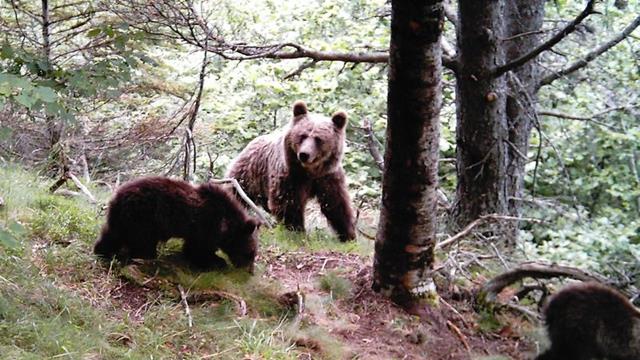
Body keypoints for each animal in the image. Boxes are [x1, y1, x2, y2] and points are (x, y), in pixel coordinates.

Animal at [94, 176, 258, 272]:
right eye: (250, 253)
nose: (249, 271)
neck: (225, 225)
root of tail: (117, 197)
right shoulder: (206, 226)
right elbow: (199, 250)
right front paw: (216, 261)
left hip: (123, 219)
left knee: (111, 235)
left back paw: (104, 251)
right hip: (143, 218)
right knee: (142, 243)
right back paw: (145, 257)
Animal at [225, 100, 356, 242]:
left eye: (318, 139)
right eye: (303, 136)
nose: (304, 154)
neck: (310, 171)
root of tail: (251, 142)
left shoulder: (328, 176)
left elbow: (336, 203)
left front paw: (348, 235)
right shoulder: (290, 175)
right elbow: (288, 203)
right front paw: (297, 230)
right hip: (247, 175)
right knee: (235, 194)